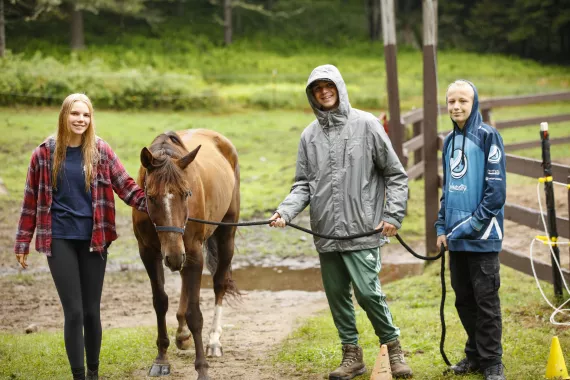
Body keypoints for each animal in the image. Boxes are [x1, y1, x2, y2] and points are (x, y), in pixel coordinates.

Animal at [132, 129, 239, 378]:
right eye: (150, 197)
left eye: (186, 193)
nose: (172, 255)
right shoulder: (149, 253)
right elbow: (160, 302)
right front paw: (162, 358)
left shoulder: (192, 252)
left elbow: (195, 313)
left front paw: (202, 368)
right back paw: (181, 333)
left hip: (225, 235)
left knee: (219, 284)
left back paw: (213, 341)